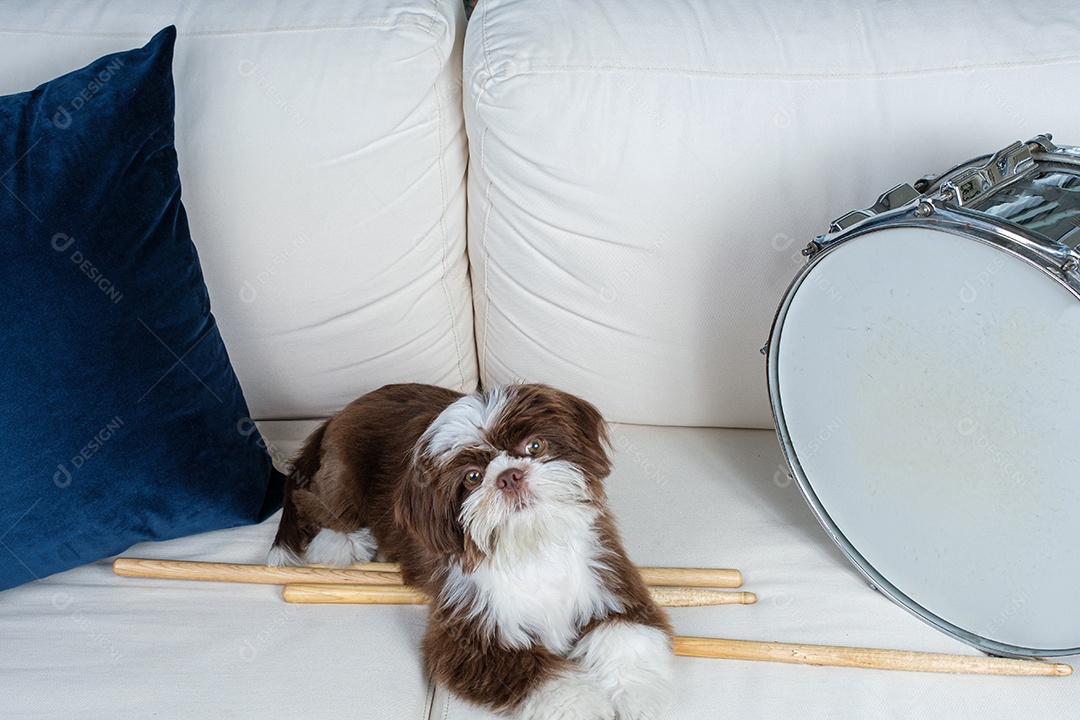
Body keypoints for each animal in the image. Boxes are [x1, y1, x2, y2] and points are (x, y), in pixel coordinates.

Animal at [268, 382, 669, 716]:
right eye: (473, 477)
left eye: (534, 446)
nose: (509, 476)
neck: (530, 544)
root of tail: (337, 415)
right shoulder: (468, 634)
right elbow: (541, 673)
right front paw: (584, 705)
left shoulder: (608, 578)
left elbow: (628, 635)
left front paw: (638, 698)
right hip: (344, 473)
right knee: (316, 504)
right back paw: (340, 545)